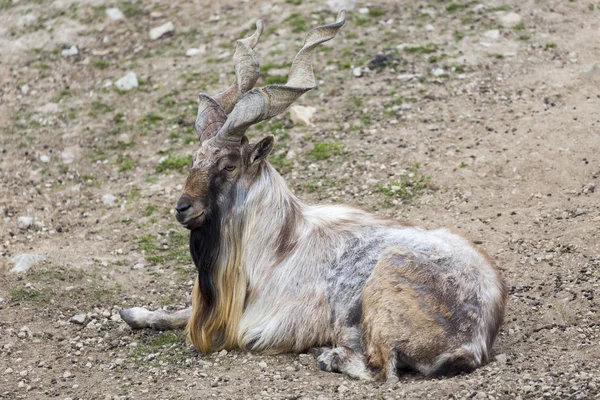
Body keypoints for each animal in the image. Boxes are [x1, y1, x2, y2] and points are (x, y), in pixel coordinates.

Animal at [122, 10, 506, 382]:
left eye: (229, 165)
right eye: (194, 159)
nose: (183, 208)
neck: (277, 245)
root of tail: (474, 341)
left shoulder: (269, 323)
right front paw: (135, 313)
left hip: (385, 284)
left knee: (383, 370)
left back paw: (332, 356)